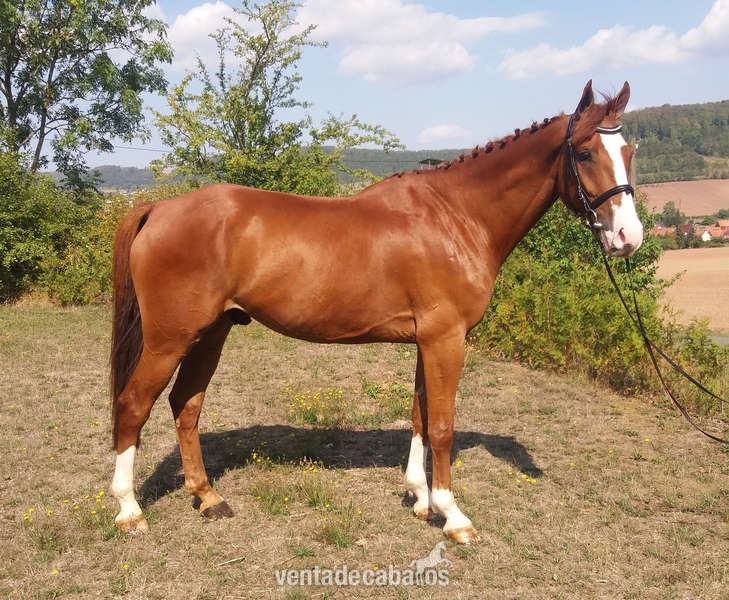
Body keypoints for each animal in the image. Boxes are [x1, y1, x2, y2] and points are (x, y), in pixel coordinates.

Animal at [109, 80, 643, 544]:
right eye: (585, 153)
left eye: (629, 152)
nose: (628, 238)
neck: (455, 217)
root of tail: (158, 209)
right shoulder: (446, 339)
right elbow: (442, 426)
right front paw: (453, 515)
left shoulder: (428, 340)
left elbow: (420, 416)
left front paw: (420, 498)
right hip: (170, 338)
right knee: (134, 405)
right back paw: (130, 510)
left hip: (211, 333)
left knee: (186, 404)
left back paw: (208, 497)